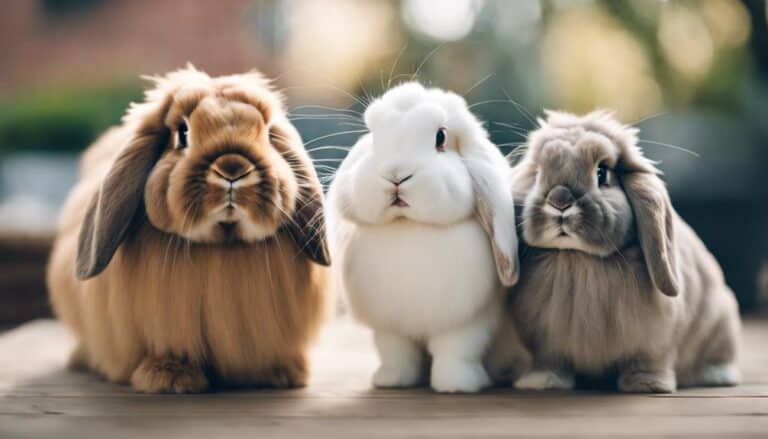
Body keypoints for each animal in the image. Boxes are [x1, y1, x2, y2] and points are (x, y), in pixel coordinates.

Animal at [47, 66, 332, 393]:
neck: (223, 246)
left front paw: (281, 374)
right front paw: (169, 379)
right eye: (182, 133)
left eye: (268, 133)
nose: (233, 168)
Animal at [326, 82, 521, 393]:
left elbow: (457, 352)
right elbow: (394, 353)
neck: (409, 227)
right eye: (373, 135)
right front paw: (391, 380)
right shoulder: (390, 327)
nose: (396, 175)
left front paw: (457, 385)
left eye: (440, 137)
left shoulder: (467, 323)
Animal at [488, 110, 741, 393]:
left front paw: (647, 384)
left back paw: (717, 376)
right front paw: (542, 382)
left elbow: (650, 359)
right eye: (538, 174)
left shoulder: (654, 340)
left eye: (601, 173)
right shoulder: (545, 342)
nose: (560, 201)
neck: (577, 258)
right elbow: (550, 360)